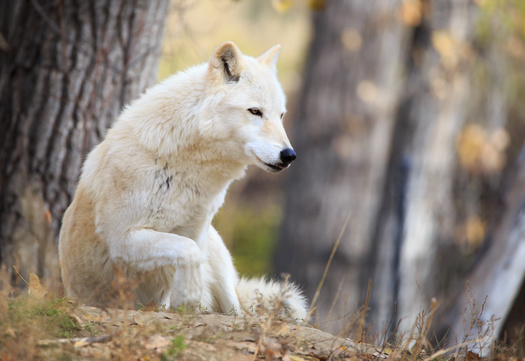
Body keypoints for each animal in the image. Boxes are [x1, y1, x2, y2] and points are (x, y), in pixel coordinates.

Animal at [58, 40, 308, 320]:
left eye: (281, 115)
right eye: (255, 111)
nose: (289, 155)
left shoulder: (196, 232)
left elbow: (188, 255)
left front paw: (184, 303)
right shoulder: (122, 240)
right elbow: (187, 252)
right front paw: (187, 298)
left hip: (216, 249)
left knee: (236, 309)